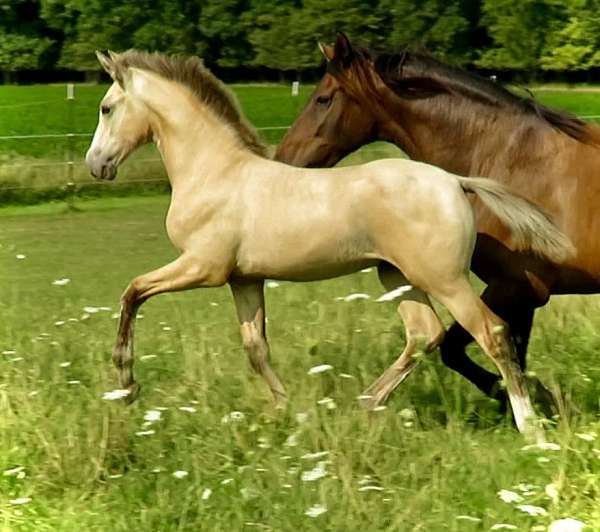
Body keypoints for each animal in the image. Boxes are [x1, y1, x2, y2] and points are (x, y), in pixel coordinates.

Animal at [85, 50, 572, 440]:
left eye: (106, 108)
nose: (96, 166)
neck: (216, 173)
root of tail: (455, 181)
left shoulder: (202, 267)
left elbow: (132, 292)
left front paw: (126, 382)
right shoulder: (244, 280)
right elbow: (256, 348)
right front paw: (288, 412)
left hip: (445, 279)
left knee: (491, 333)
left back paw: (530, 427)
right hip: (397, 275)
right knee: (424, 334)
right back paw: (367, 403)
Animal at [274, 34, 596, 412]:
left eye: (323, 99)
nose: (283, 159)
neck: (507, 158)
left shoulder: (515, 287)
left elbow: (459, 349)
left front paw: (534, 404)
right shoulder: (523, 294)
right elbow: (499, 354)